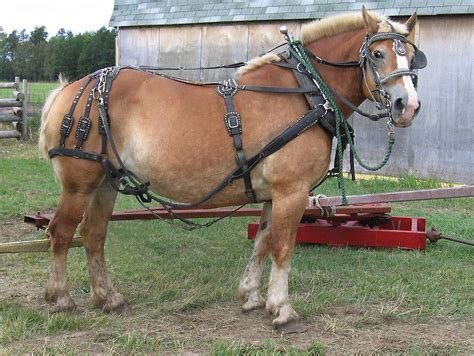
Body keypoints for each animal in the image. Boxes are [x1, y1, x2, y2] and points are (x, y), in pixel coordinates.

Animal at [39, 7, 426, 328]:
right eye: (377, 54)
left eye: (412, 57)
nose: (407, 106)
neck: (305, 93)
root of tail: (72, 89)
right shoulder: (292, 191)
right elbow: (283, 247)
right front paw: (282, 309)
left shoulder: (273, 195)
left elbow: (263, 243)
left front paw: (252, 296)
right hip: (79, 184)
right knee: (61, 232)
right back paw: (61, 298)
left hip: (106, 180)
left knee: (93, 234)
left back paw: (109, 298)